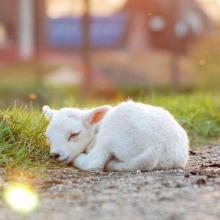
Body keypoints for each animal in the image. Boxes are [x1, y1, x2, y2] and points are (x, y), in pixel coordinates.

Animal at [43, 100, 189, 171]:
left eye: (74, 134)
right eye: (48, 138)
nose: (54, 155)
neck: (97, 128)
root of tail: (155, 149)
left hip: (111, 133)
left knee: (94, 162)